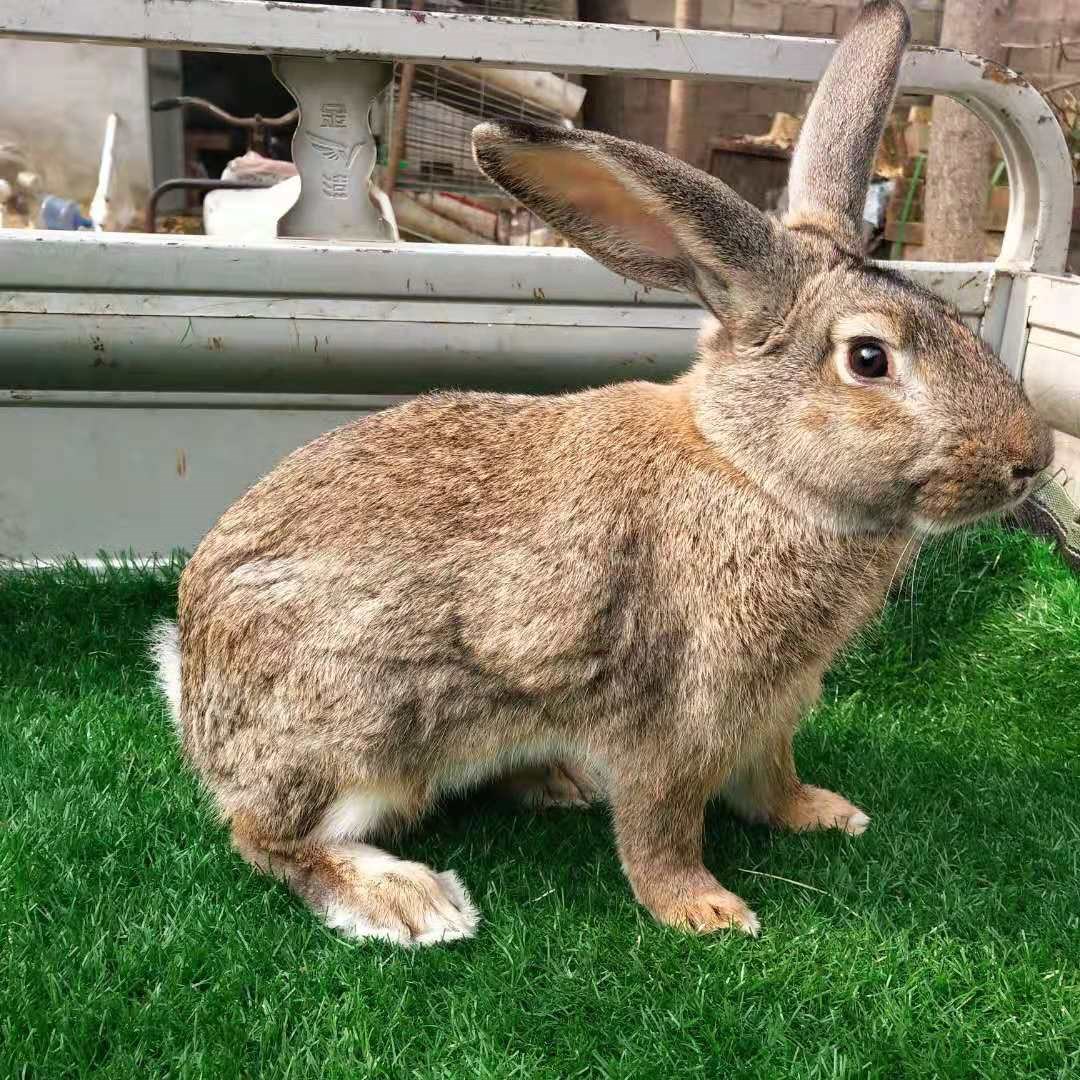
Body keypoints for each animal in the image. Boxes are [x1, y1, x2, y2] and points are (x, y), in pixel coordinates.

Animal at [156, 0, 1049, 946]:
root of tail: (194, 688)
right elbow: (661, 825)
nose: (1032, 461)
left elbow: (772, 777)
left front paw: (823, 813)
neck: (750, 468)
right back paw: (406, 897)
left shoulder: (773, 710)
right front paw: (704, 911)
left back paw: (552, 783)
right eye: (870, 358)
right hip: (356, 738)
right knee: (267, 837)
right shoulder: (680, 719)